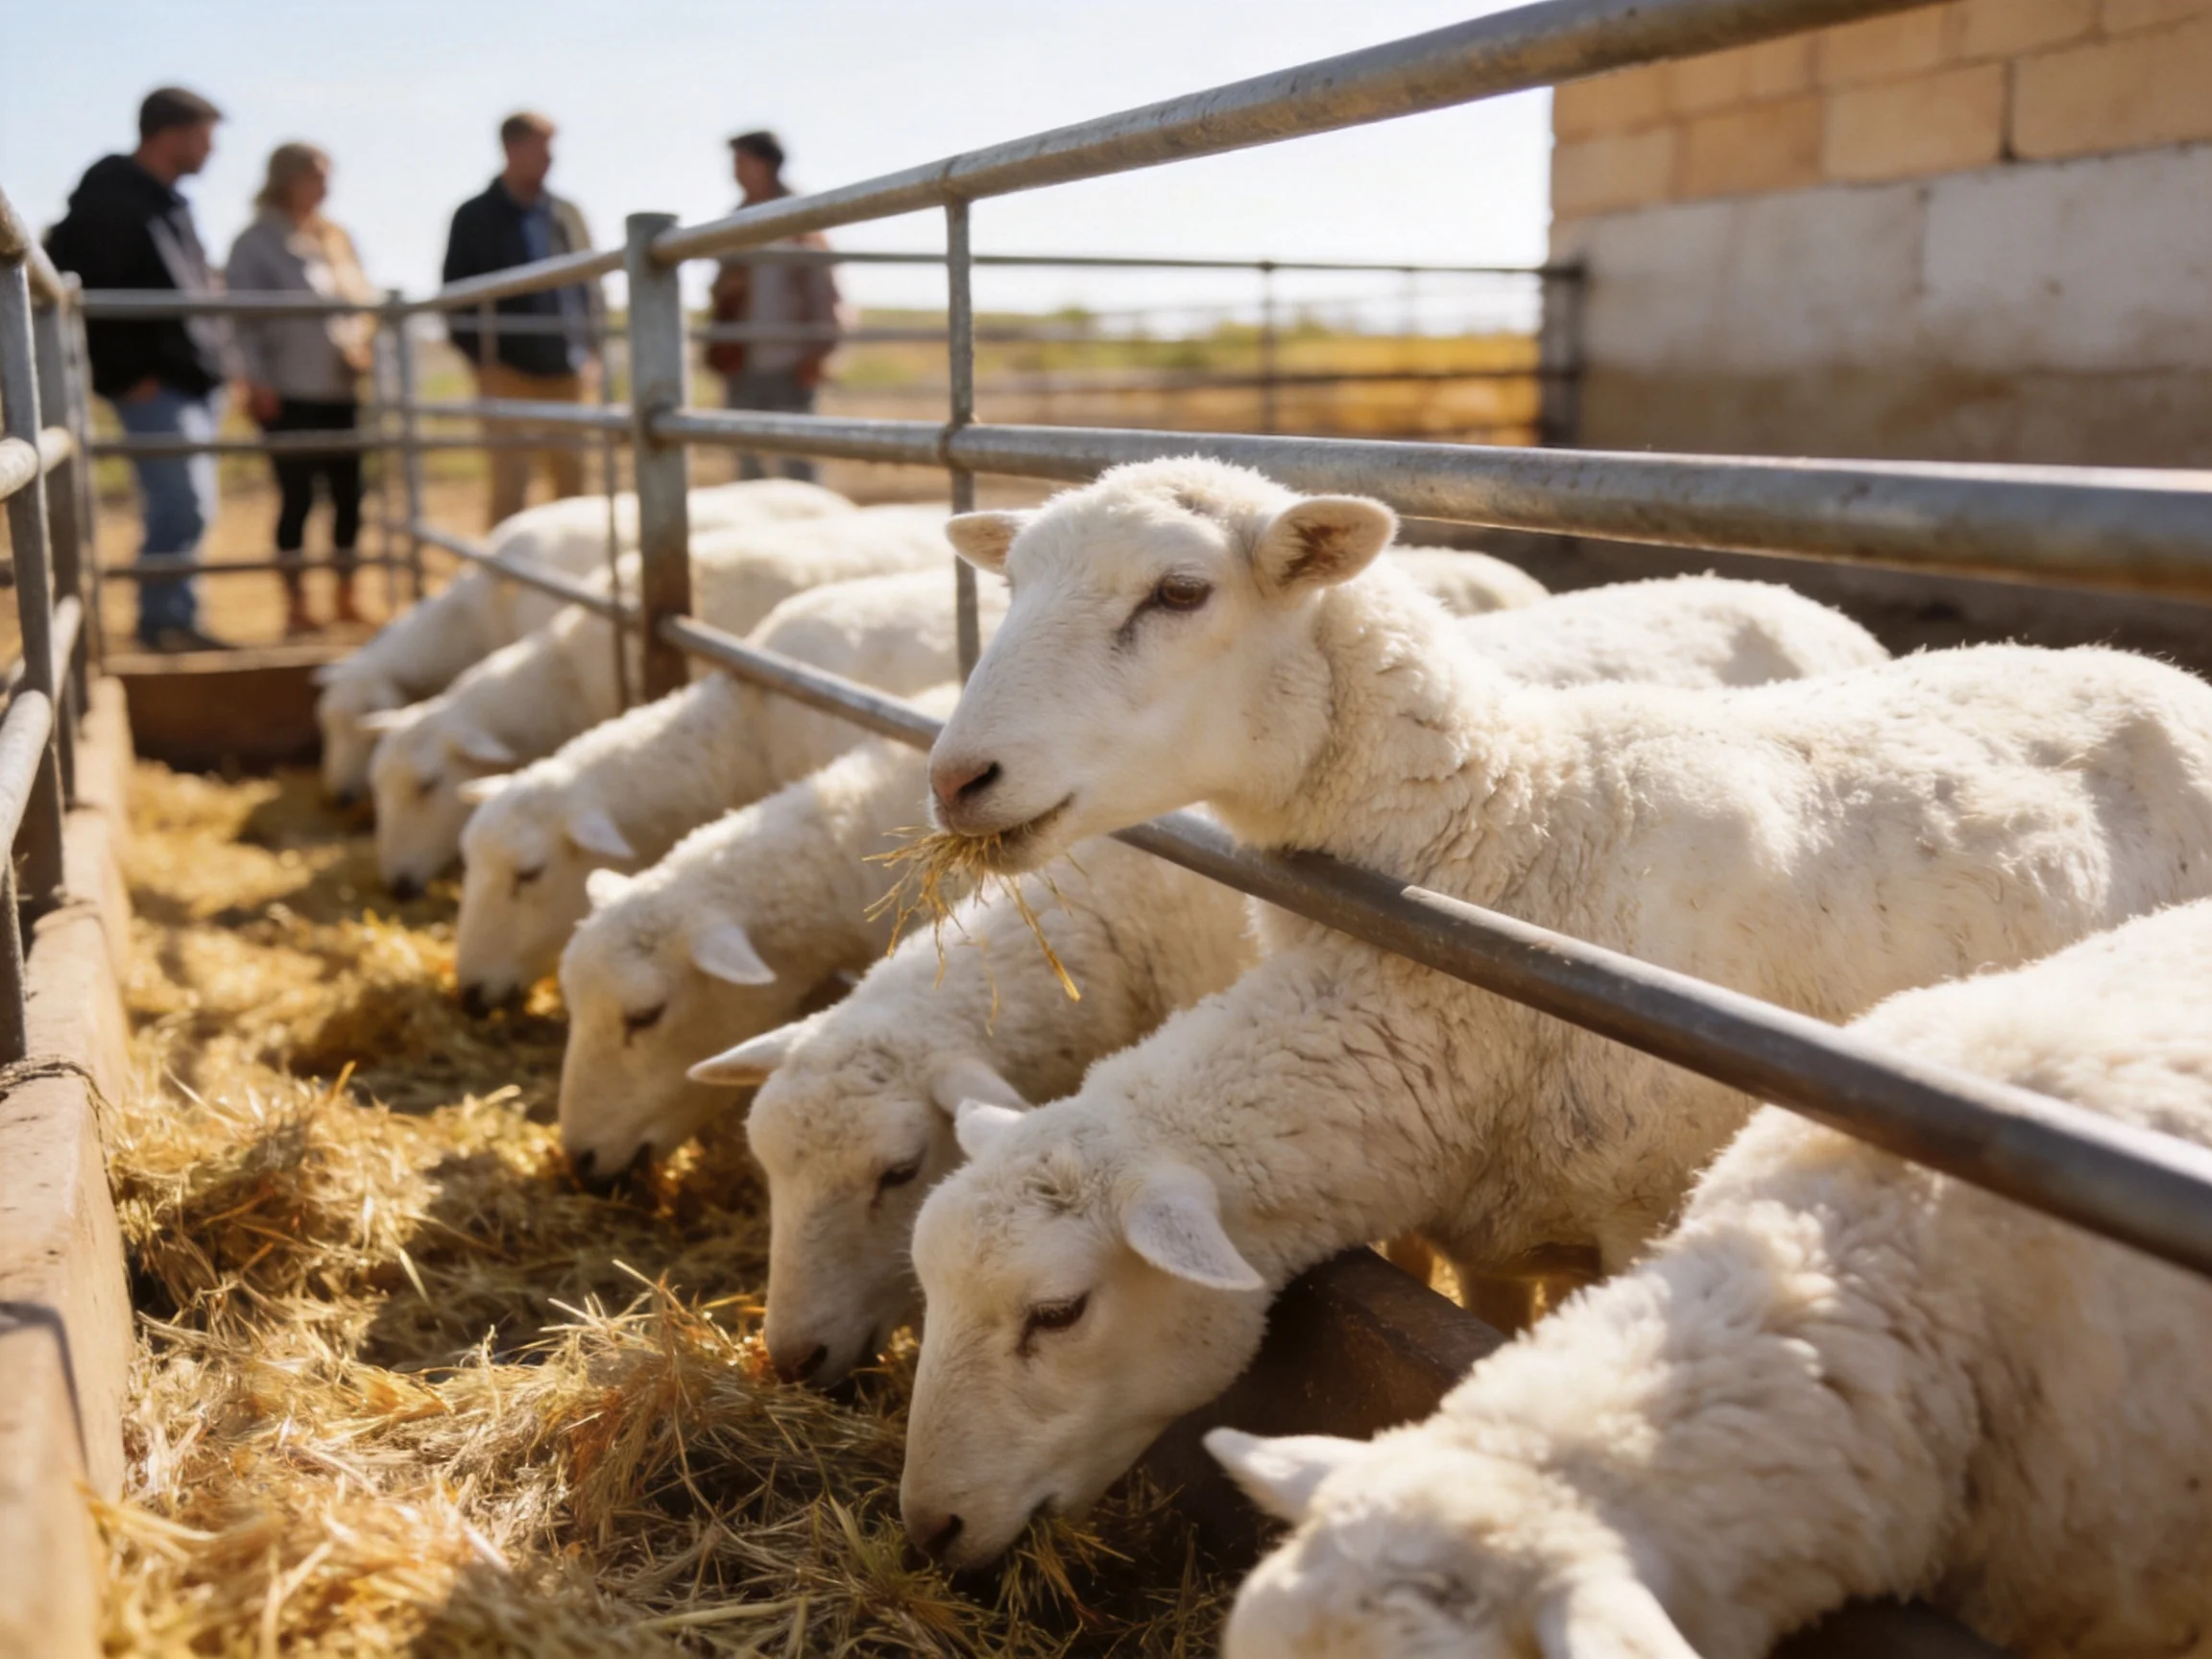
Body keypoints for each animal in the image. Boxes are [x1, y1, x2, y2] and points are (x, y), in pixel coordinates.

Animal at [891, 456, 2212, 1568]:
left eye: (1178, 591)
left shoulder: (1646, 1219)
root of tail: (2153, 667)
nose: (954, 777)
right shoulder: (1482, 1223)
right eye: (1010, 584)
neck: (1517, 831)